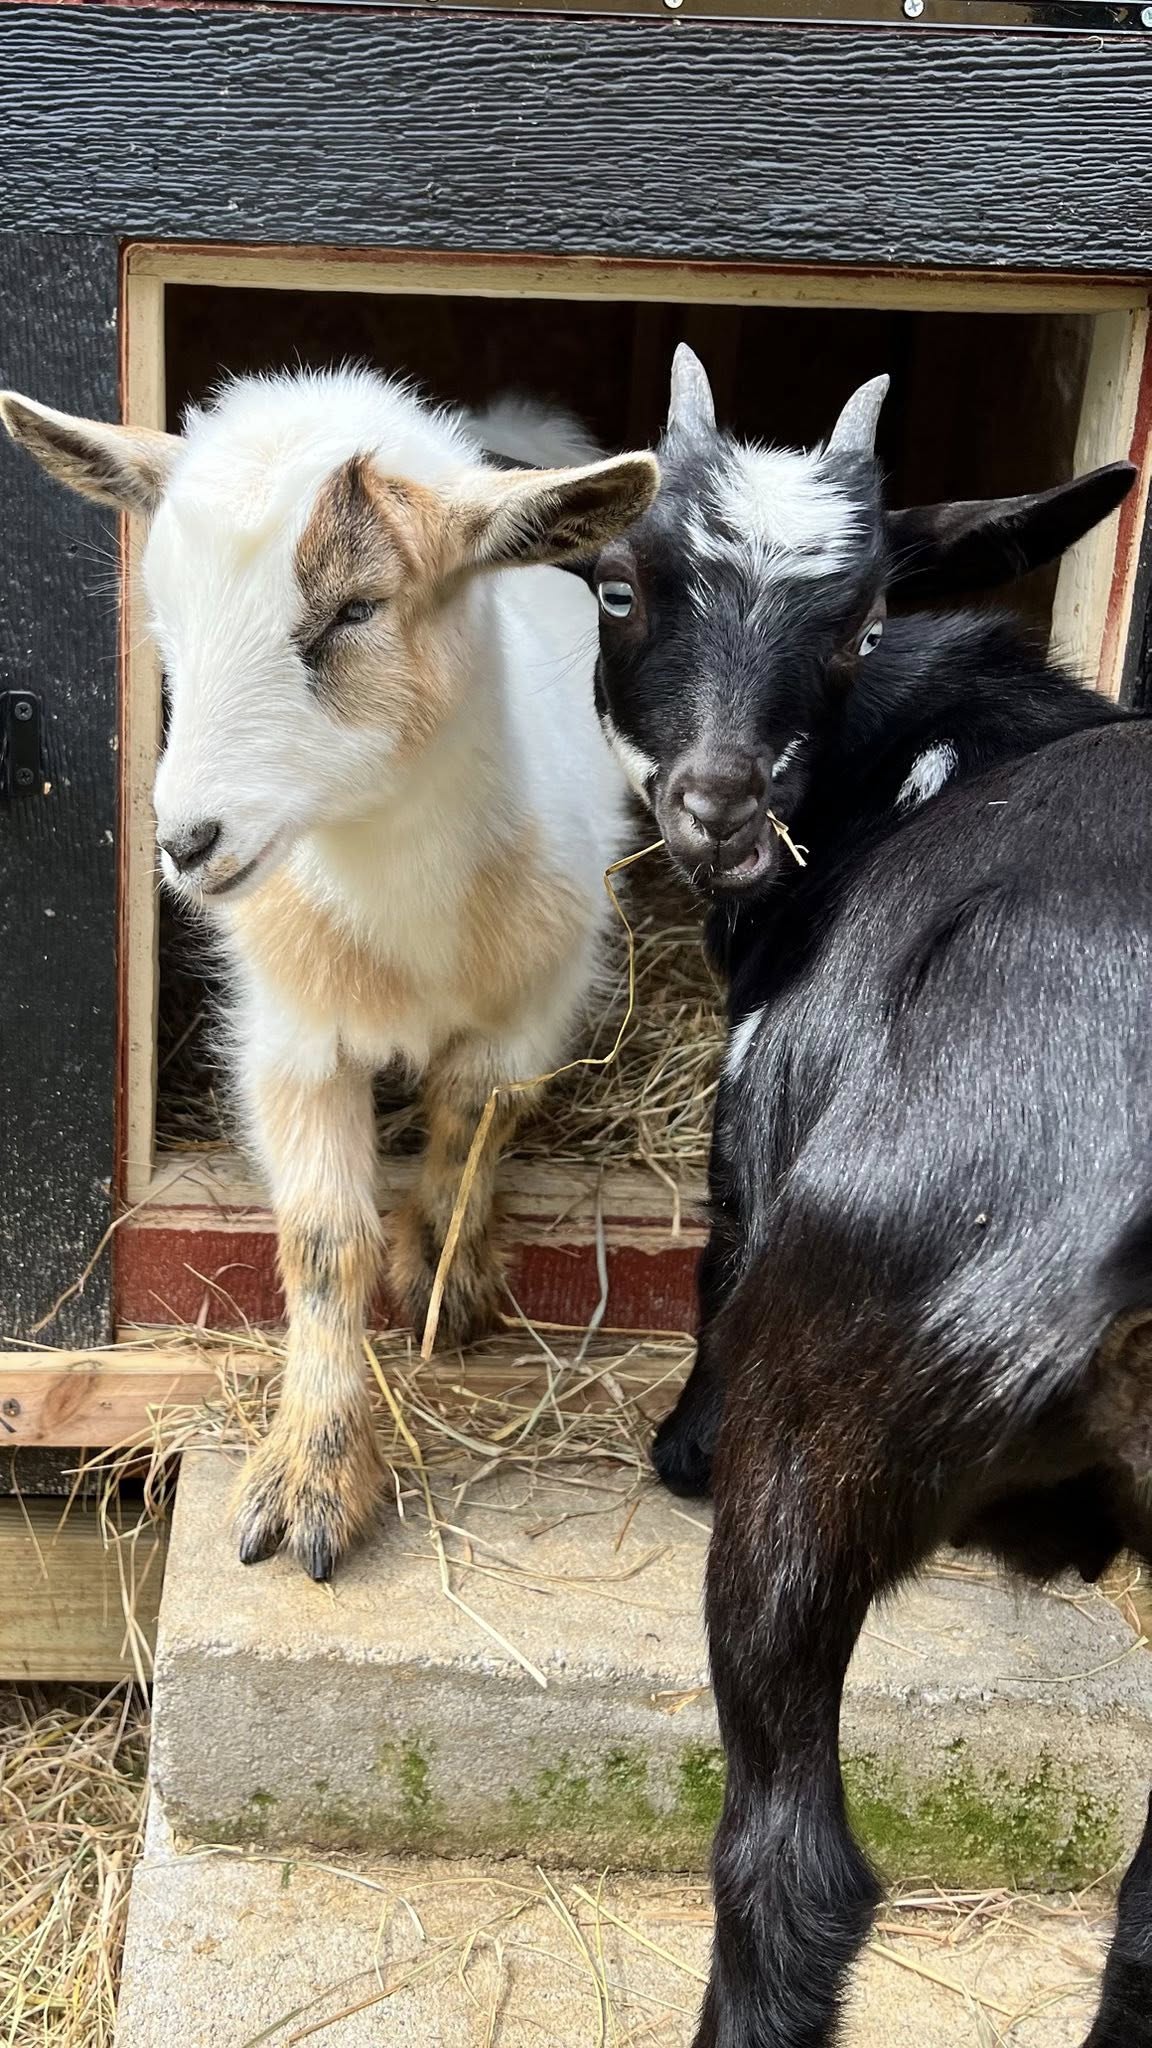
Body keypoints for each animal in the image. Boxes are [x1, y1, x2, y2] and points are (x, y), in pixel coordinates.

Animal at [1, 368, 657, 1580]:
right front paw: (310, 1476)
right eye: (165, 603)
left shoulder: (534, 1006)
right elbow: (321, 1243)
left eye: (356, 608)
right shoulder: (291, 1039)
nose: (188, 840)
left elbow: (475, 1114)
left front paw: (444, 1270)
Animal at [587, 345, 1150, 2047]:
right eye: (623, 583)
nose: (716, 799)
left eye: (852, 623)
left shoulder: (747, 1151)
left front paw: (673, 1446)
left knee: (792, 1871)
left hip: (821, 1427)